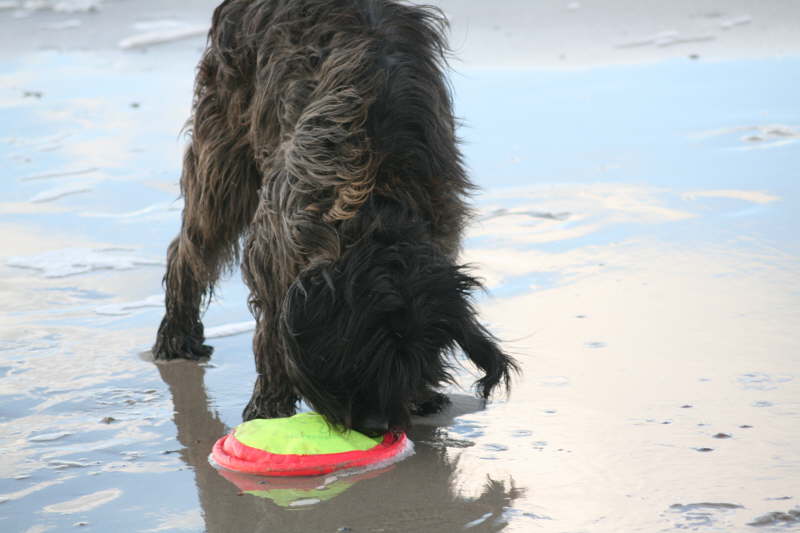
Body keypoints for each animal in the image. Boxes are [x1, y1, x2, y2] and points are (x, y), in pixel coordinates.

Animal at [152, 0, 516, 432]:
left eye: (415, 360)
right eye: (355, 359)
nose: (377, 425)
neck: (381, 198)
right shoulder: (278, 235)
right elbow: (272, 329)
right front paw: (269, 404)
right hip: (224, 143)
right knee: (193, 244)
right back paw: (176, 336)